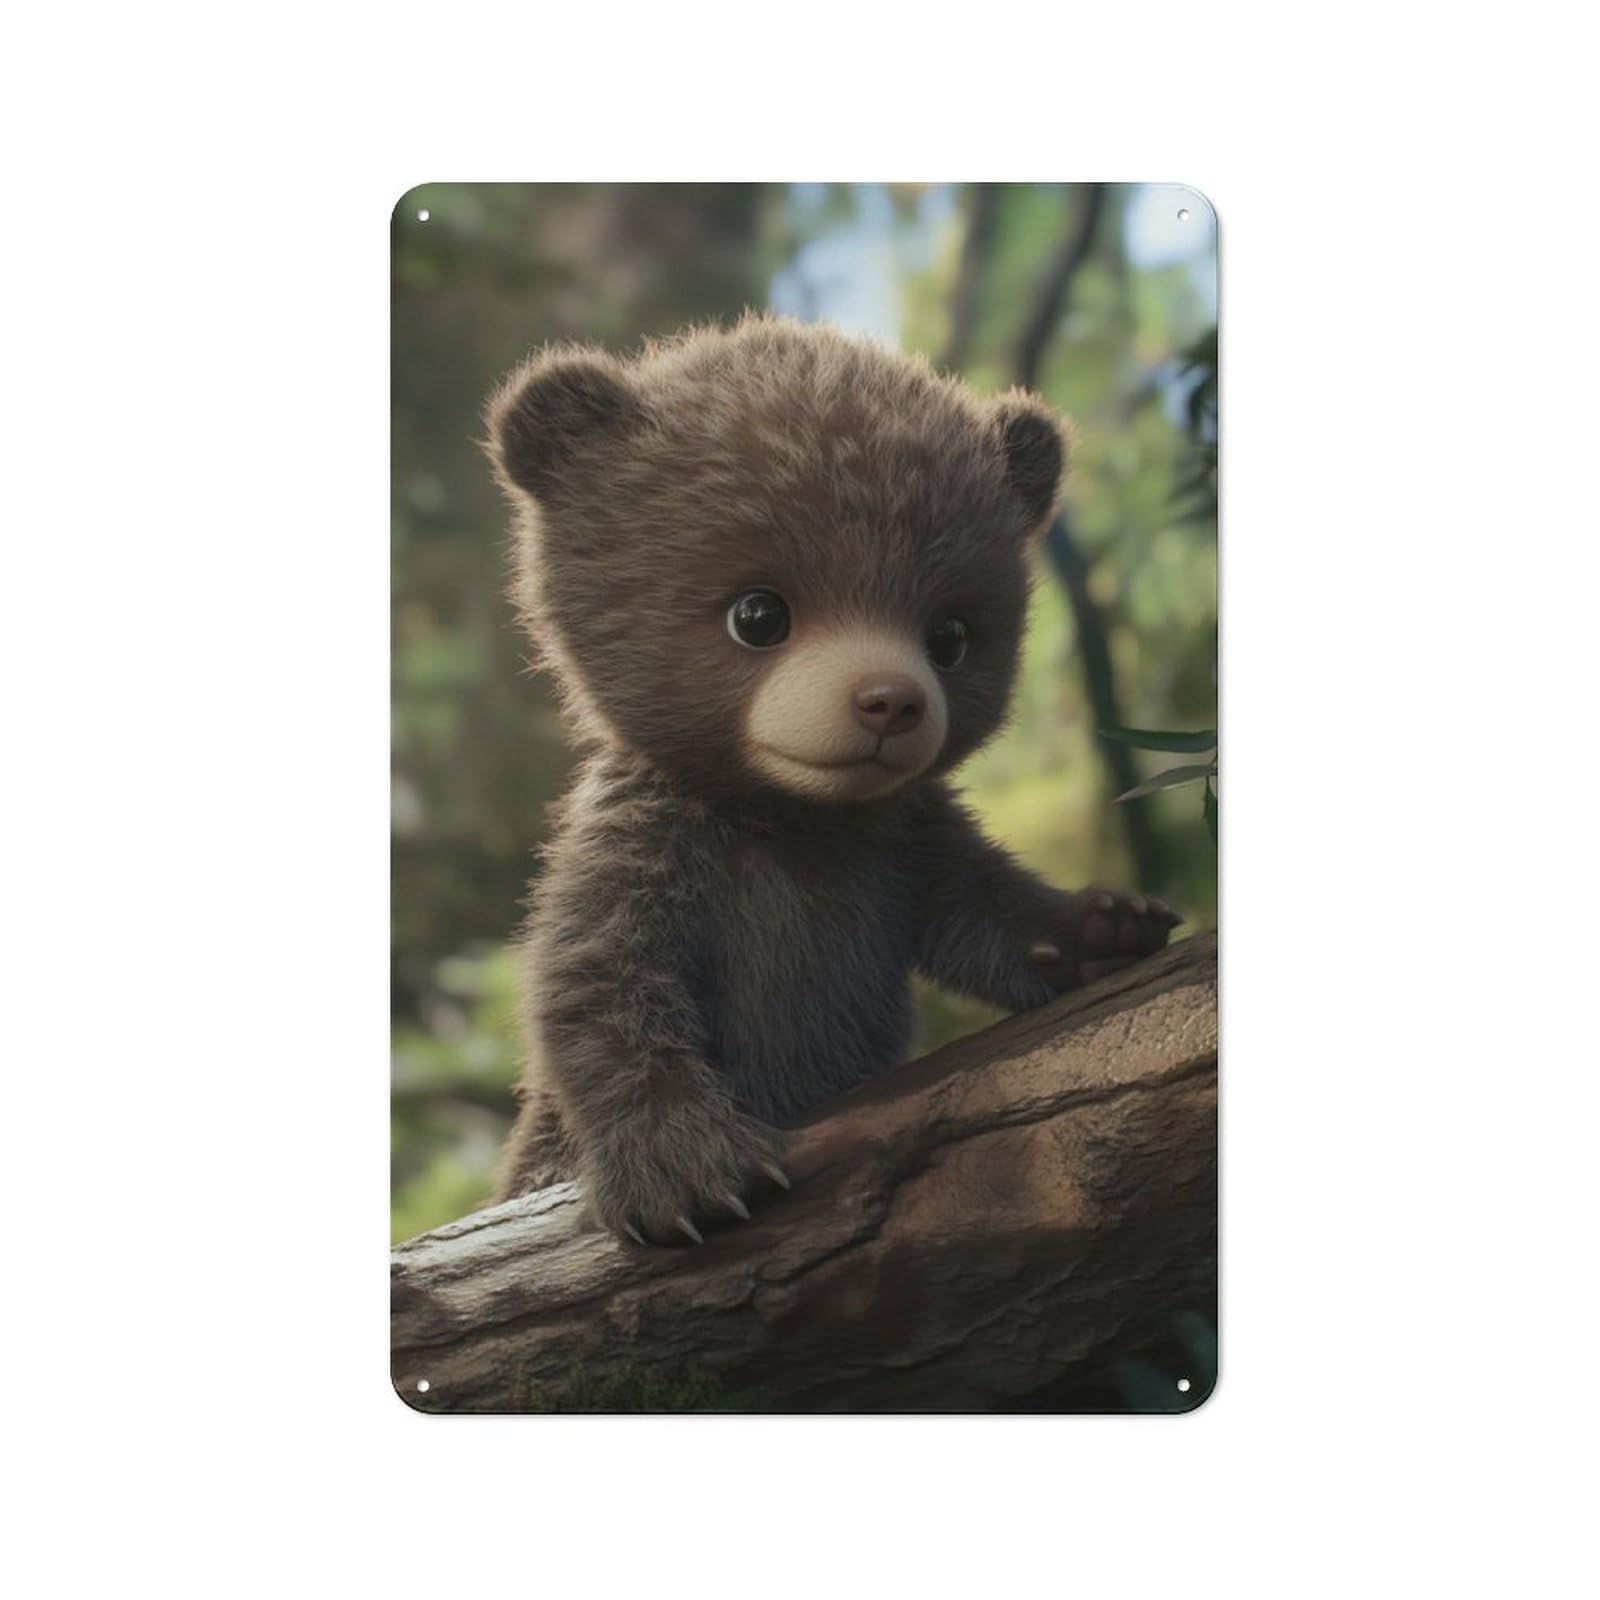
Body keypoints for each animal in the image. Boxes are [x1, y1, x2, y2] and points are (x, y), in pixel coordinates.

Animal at [485, 314, 1177, 1245]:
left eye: (950, 635)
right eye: (758, 614)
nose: (890, 702)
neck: (797, 816)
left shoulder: (903, 838)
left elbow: (983, 908)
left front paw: (1101, 928)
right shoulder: (652, 833)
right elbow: (596, 982)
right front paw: (688, 1169)